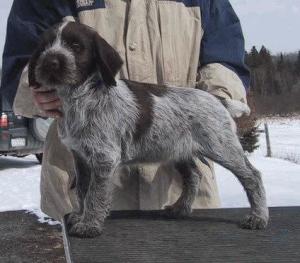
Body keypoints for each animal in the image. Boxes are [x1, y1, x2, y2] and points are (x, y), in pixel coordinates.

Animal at [29, 21, 270, 238]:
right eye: (44, 47)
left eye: (76, 46)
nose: (50, 62)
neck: (79, 97)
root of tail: (218, 99)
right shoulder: (81, 157)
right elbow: (81, 190)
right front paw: (81, 216)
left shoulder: (103, 158)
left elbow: (95, 194)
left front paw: (89, 225)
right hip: (177, 150)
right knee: (193, 176)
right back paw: (180, 209)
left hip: (222, 147)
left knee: (253, 176)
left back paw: (258, 217)